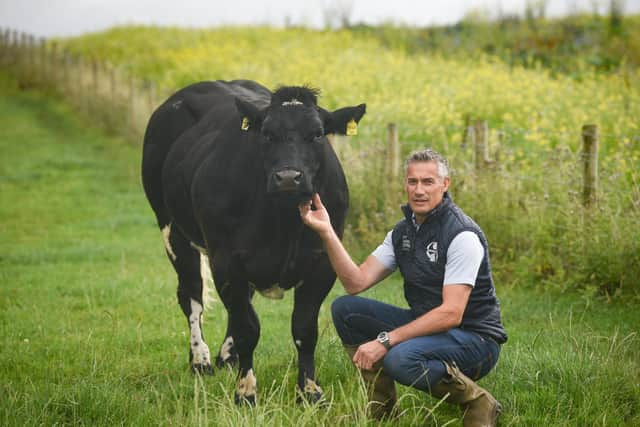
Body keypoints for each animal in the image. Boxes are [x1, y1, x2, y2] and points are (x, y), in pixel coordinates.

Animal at [142, 80, 368, 404]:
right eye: (267, 133)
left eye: (316, 134)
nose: (288, 177)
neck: (282, 223)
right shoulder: (226, 260)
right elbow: (248, 328)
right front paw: (246, 392)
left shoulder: (322, 263)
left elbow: (304, 329)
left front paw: (309, 392)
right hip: (171, 228)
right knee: (192, 295)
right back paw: (201, 360)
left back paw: (228, 356)